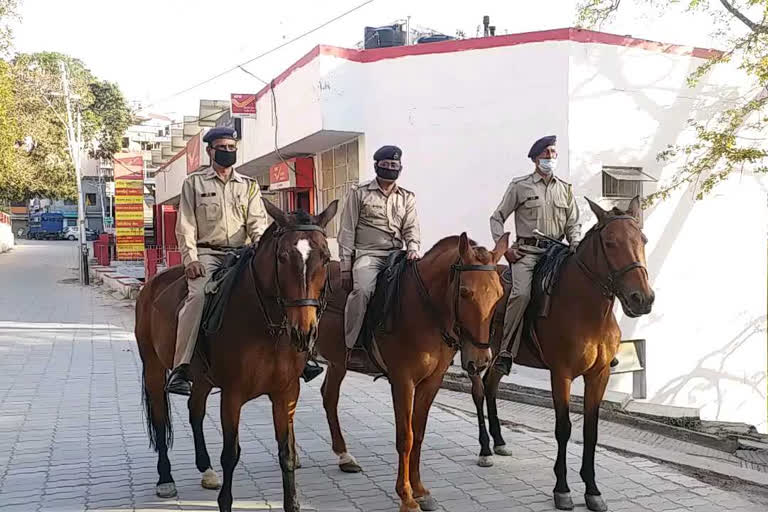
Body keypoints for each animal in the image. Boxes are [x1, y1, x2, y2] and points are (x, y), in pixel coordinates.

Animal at [136, 199, 340, 512]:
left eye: (326, 257)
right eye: (282, 257)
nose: (303, 331)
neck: (266, 326)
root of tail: (151, 284)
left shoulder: (286, 393)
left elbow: (286, 452)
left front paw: (292, 502)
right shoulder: (232, 396)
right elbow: (230, 454)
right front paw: (225, 502)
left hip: (202, 378)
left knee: (195, 410)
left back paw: (206, 469)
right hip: (153, 369)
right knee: (159, 420)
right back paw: (165, 479)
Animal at [312, 233, 510, 512]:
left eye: (499, 294)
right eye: (464, 292)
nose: (481, 361)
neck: (425, 310)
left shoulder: (432, 382)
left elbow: (419, 433)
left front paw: (419, 490)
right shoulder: (403, 381)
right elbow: (405, 437)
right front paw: (405, 496)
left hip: (338, 362)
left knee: (329, 397)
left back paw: (344, 457)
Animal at [468, 197, 656, 512]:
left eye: (642, 239)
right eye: (610, 242)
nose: (641, 299)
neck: (587, 311)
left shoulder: (599, 376)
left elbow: (591, 431)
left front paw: (592, 490)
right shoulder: (562, 374)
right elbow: (563, 428)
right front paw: (562, 488)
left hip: (497, 357)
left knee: (491, 387)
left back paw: (499, 441)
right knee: (479, 391)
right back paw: (484, 449)